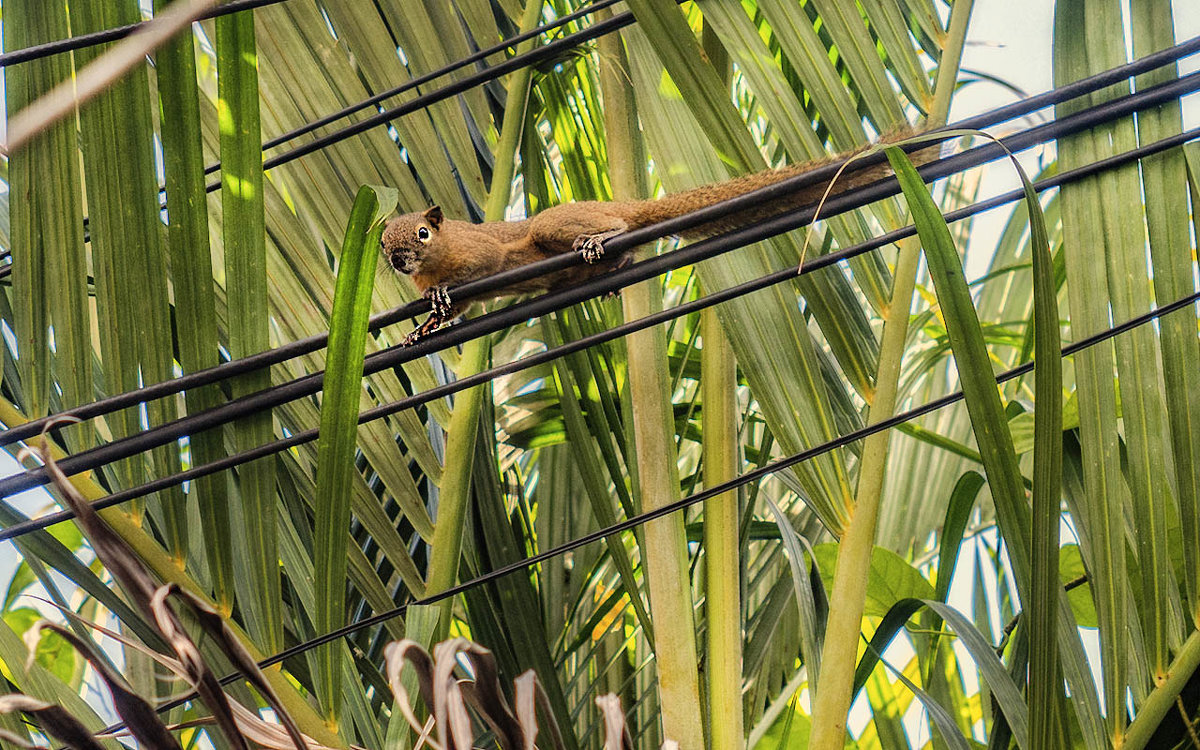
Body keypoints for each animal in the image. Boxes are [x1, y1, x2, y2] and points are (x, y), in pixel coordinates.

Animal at [384, 135, 926, 345]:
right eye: (385, 244)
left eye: (423, 232)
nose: (398, 260)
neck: (435, 259)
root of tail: (623, 203)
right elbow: (449, 313)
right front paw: (421, 328)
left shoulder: (481, 251)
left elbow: (478, 268)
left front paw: (439, 295)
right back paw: (614, 272)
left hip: (554, 225)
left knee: (615, 229)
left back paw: (604, 237)